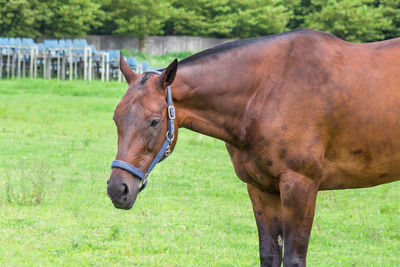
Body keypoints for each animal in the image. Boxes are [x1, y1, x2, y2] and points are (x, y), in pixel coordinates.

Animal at [107, 29, 400, 267]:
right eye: (116, 118)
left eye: (154, 121)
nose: (118, 189)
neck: (267, 91)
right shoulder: (261, 189)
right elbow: (269, 254)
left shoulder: (301, 186)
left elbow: (294, 258)